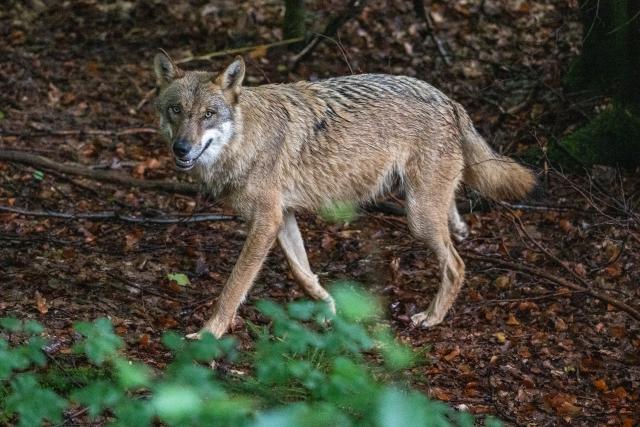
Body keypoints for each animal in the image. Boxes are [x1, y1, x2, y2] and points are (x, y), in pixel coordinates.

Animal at [153, 52, 535, 339]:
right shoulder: (282, 217)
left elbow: (233, 287)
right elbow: (302, 273)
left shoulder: (265, 221)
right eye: (176, 110)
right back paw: (459, 229)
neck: (246, 139)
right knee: (455, 224)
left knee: (456, 265)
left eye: (208, 114)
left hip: (417, 218)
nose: (181, 148)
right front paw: (329, 307)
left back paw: (431, 317)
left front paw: (208, 334)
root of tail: (449, 100)